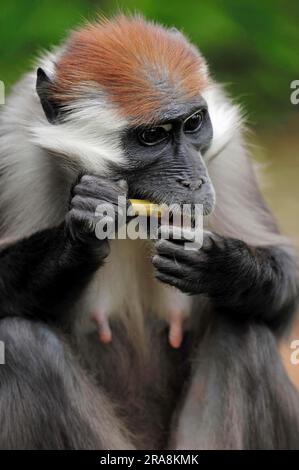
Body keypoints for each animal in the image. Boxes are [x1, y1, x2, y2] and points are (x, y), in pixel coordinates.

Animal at [0, 15, 299, 448]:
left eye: (193, 124)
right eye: (152, 136)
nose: (194, 182)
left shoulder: (224, 155)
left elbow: (285, 287)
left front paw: (224, 267)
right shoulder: (15, 146)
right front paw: (83, 230)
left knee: (246, 333)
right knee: (23, 345)